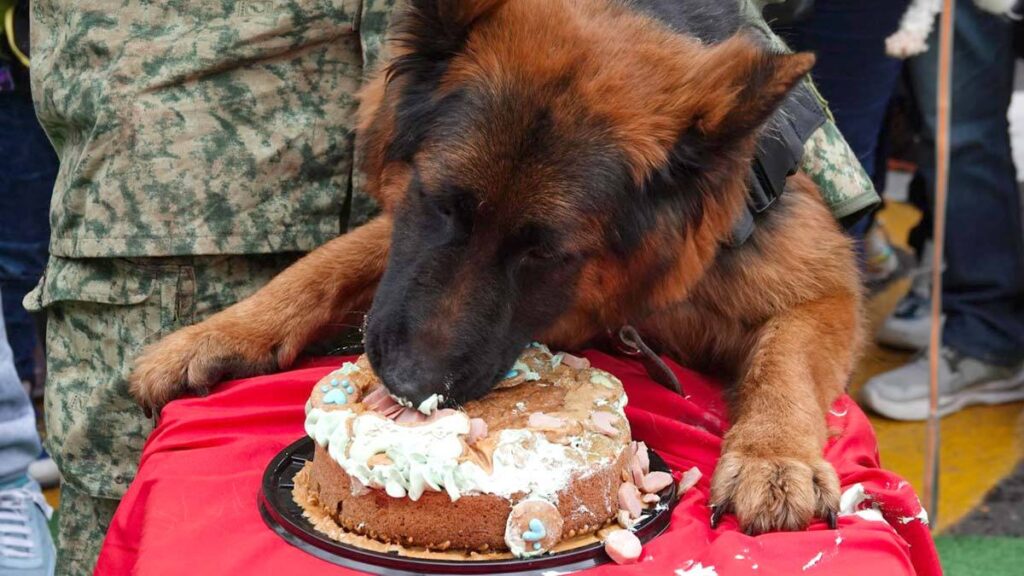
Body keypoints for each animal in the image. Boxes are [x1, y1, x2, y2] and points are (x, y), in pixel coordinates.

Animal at [128, 0, 864, 532]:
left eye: (545, 252)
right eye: (438, 201)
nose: (410, 386)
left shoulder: (820, 282)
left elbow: (787, 360)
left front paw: (773, 456)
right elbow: (328, 261)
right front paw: (217, 333)